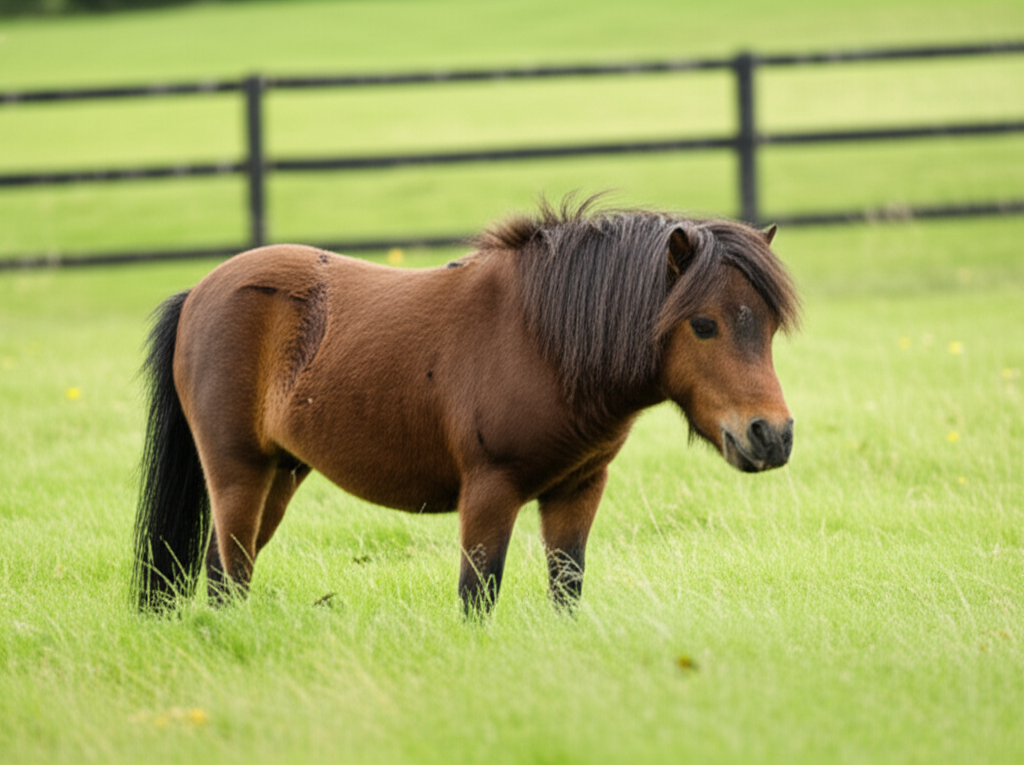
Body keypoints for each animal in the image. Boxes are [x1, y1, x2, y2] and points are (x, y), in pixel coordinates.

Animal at [131, 197, 800, 615]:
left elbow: (567, 591)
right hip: (238, 472)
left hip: (281, 474)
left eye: (768, 326)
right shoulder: (488, 493)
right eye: (704, 325)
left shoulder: (577, 491)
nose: (771, 435)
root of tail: (200, 291)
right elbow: (477, 597)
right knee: (229, 571)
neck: (539, 339)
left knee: (225, 571)